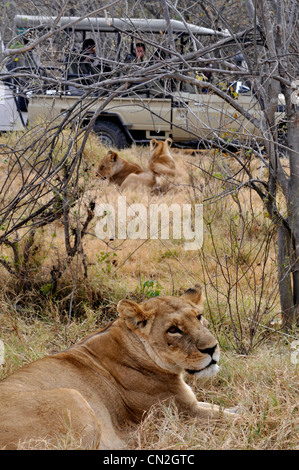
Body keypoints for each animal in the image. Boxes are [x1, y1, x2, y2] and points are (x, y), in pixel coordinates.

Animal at [0, 284, 239, 450]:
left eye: (199, 317)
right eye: (173, 330)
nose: (212, 348)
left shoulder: (193, 404)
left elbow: (225, 408)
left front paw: (238, 407)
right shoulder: (184, 413)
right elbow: (236, 419)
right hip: (73, 397)